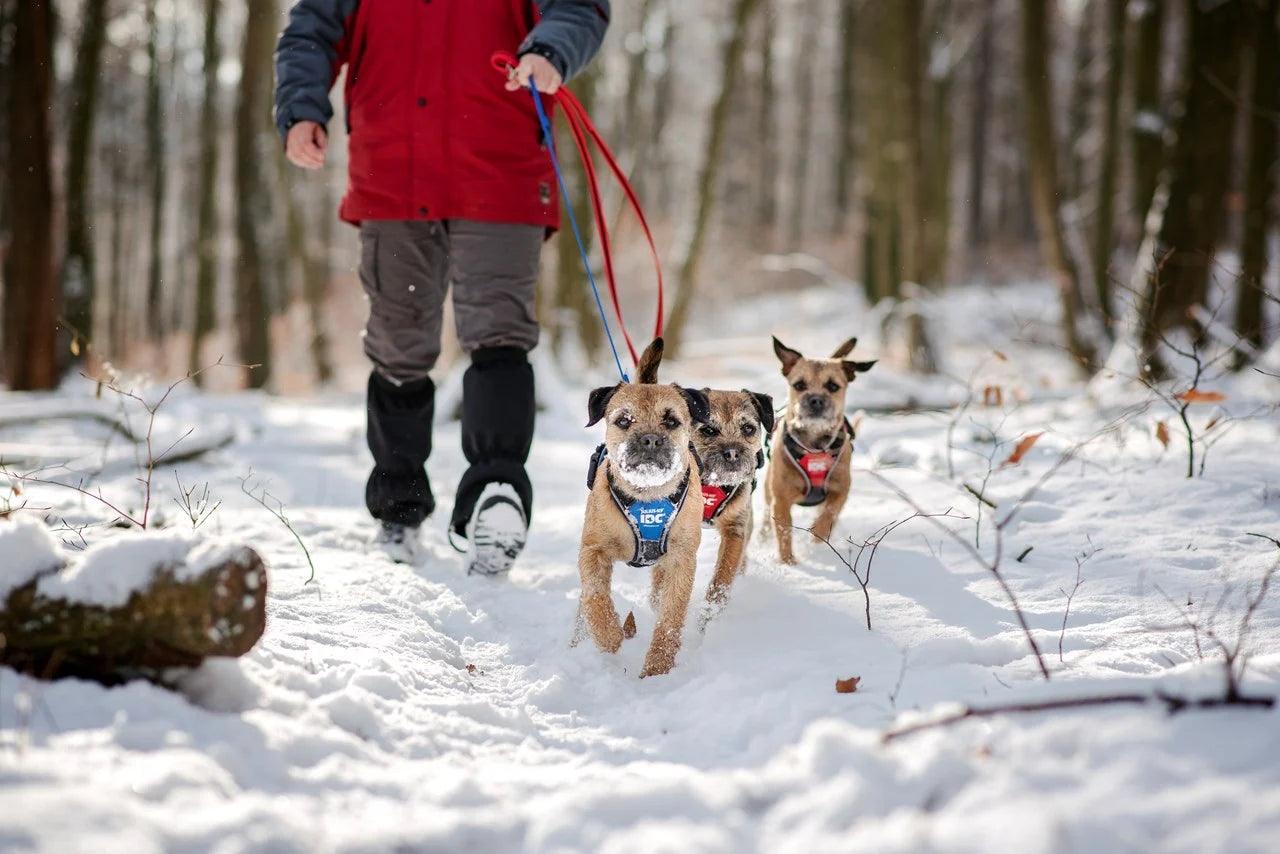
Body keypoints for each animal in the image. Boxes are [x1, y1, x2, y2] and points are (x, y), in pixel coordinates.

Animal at [578, 338, 711, 676]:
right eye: (624, 420)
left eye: (671, 421)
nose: (650, 439)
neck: (647, 496)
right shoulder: (593, 549)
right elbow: (595, 596)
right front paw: (610, 638)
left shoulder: (680, 560)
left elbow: (670, 618)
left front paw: (657, 670)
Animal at [691, 386, 768, 622]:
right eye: (708, 430)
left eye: (748, 428)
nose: (732, 452)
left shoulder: (735, 530)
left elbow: (722, 577)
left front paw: (709, 613)